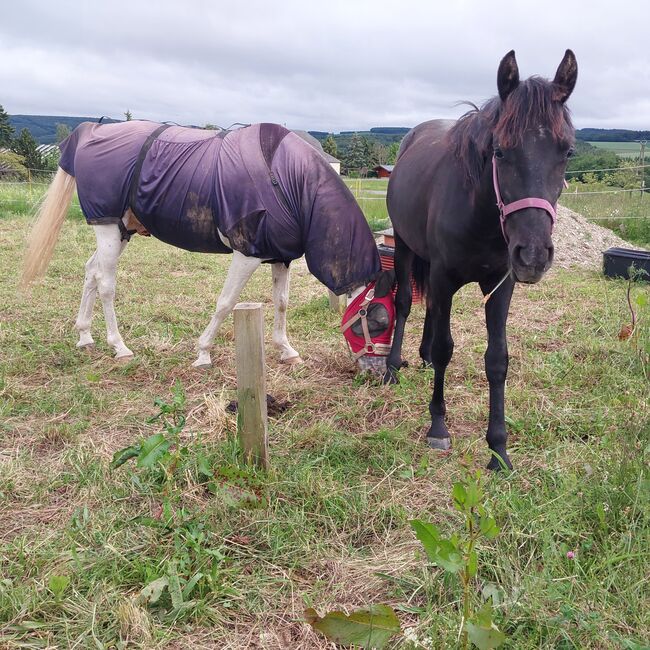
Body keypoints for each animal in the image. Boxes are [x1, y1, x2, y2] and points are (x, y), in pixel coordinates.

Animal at [22, 121, 382, 364]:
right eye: (379, 320)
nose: (380, 373)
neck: (288, 181)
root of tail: (89, 132)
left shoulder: (279, 257)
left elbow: (281, 303)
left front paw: (286, 350)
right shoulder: (247, 254)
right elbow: (226, 302)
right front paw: (203, 352)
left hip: (120, 230)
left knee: (91, 271)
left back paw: (85, 335)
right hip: (108, 227)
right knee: (105, 282)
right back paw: (119, 346)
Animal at [382, 48, 576, 468]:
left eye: (567, 151)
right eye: (500, 150)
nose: (533, 254)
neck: (478, 214)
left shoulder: (500, 285)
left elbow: (497, 359)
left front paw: (498, 448)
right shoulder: (443, 276)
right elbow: (446, 348)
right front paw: (438, 427)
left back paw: (421, 357)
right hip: (404, 246)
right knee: (404, 302)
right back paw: (392, 366)